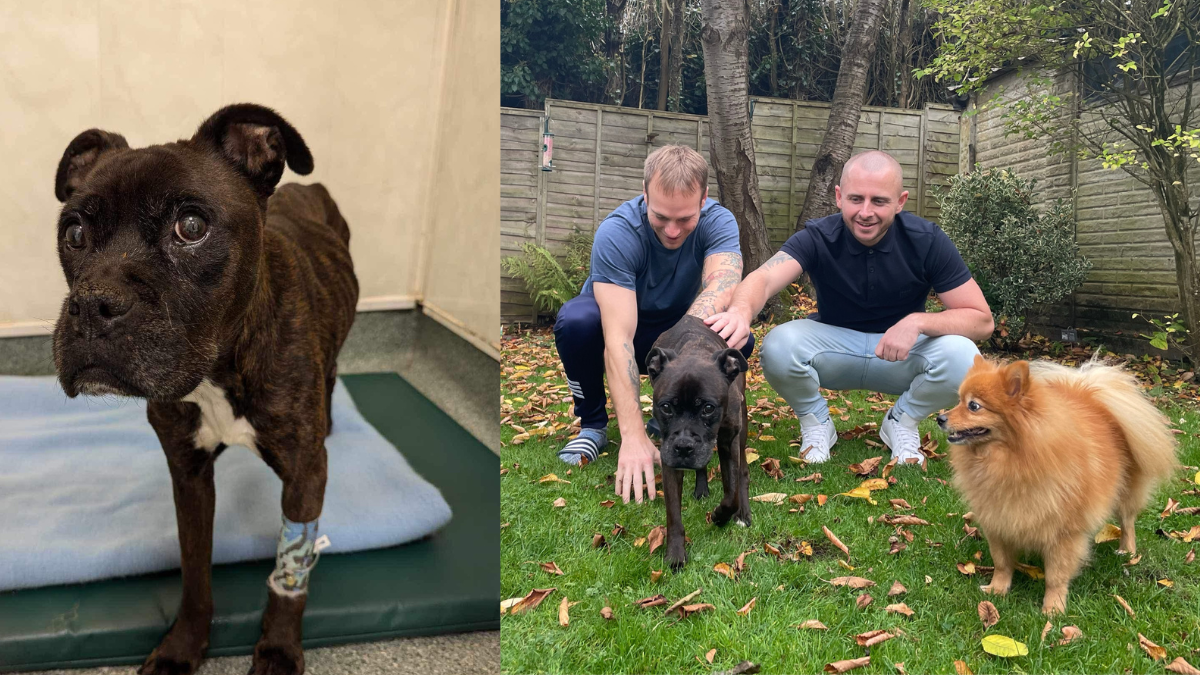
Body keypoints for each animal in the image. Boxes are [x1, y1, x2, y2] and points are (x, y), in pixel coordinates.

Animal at [643, 312, 744, 564]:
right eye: (666, 407)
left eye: (708, 408)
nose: (683, 447)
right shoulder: (669, 460)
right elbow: (673, 514)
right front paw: (675, 554)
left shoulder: (729, 443)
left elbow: (732, 495)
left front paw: (720, 516)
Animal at [936, 355, 1171, 612]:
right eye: (958, 400)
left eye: (974, 406)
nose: (940, 418)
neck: (1010, 461)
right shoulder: (998, 521)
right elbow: (1002, 563)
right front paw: (998, 589)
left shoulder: (1063, 533)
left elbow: (1056, 575)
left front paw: (1053, 608)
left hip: (1126, 493)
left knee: (1127, 522)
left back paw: (1127, 550)